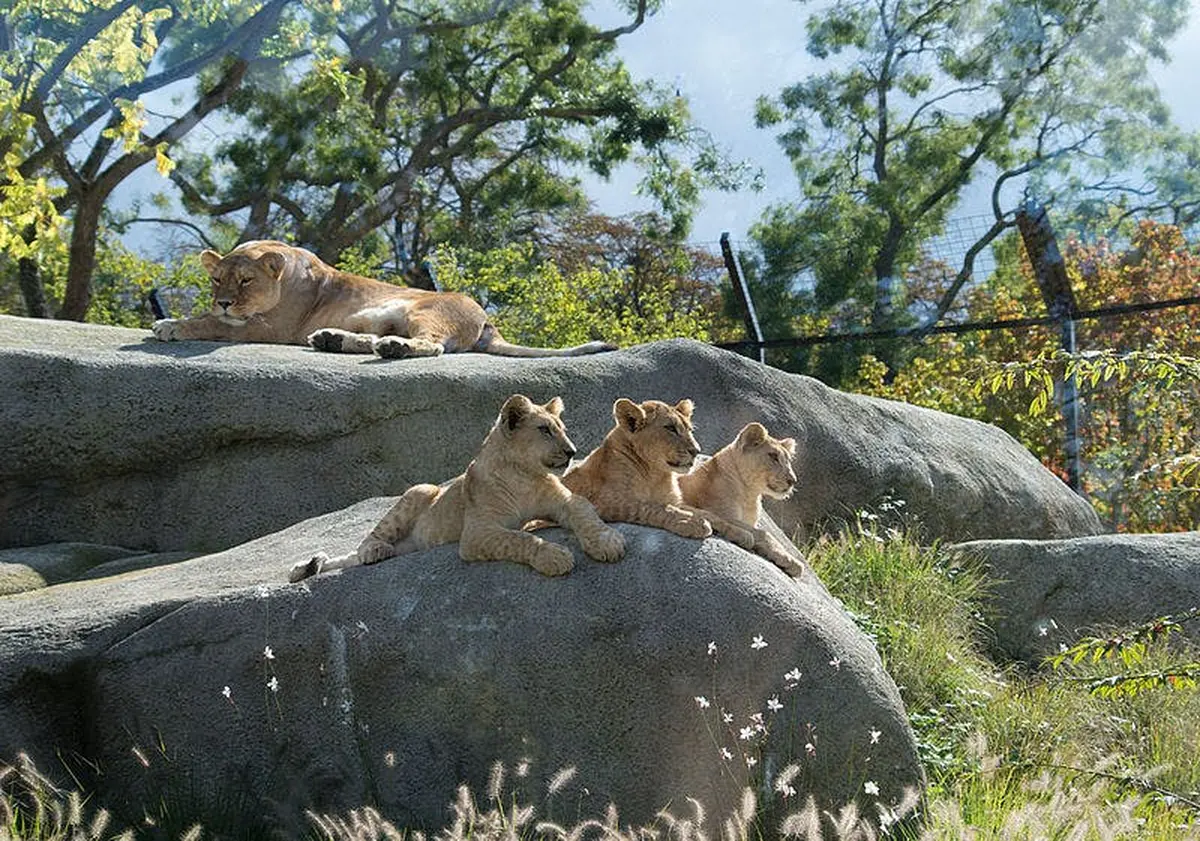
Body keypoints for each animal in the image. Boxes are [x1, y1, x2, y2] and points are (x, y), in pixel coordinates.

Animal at [151, 240, 615, 359]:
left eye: (245, 281)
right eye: (216, 281)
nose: (225, 302)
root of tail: (487, 318)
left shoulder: (271, 326)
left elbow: (210, 324)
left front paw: (170, 325)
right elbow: (209, 319)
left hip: (423, 310)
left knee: (430, 346)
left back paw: (392, 348)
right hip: (381, 316)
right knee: (375, 339)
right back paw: (332, 339)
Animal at [288, 394, 625, 581]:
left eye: (563, 430)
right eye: (544, 430)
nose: (571, 451)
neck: (525, 475)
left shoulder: (563, 501)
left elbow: (584, 511)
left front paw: (608, 542)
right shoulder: (477, 532)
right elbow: (519, 539)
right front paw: (554, 557)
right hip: (422, 489)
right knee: (365, 543)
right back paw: (375, 550)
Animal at [557, 398, 755, 549]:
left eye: (689, 429)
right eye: (671, 428)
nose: (696, 451)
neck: (656, 474)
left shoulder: (676, 501)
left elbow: (709, 514)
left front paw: (742, 533)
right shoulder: (602, 501)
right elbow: (652, 507)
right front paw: (691, 523)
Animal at [679, 422, 806, 577]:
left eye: (788, 460)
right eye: (773, 456)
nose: (792, 480)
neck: (750, 494)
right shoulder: (721, 512)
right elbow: (764, 533)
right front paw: (791, 561)